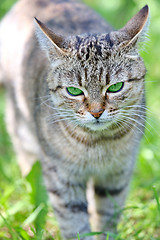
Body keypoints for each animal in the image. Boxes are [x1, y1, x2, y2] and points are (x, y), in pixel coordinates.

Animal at [0, 0, 149, 239]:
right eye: (74, 91)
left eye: (115, 87)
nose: (96, 112)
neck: (99, 144)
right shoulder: (62, 178)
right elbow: (74, 222)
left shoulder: (117, 175)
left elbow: (107, 216)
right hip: (23, 134)